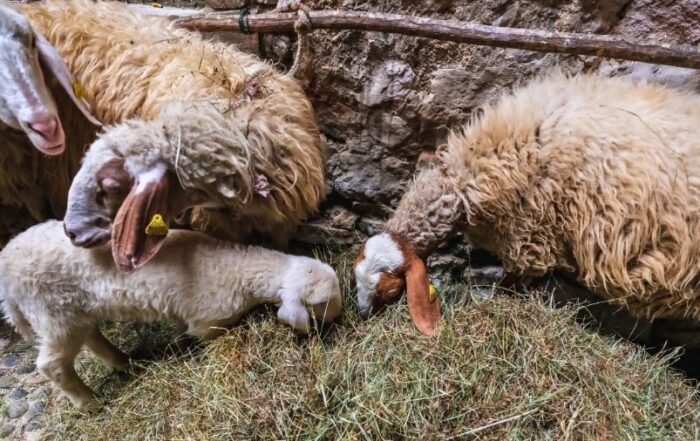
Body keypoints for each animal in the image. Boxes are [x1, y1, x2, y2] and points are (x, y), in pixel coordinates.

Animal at [0, 219, 342, 411]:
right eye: (324, 303)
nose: (338, 318)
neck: (238, 270)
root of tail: (6, 265)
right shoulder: (208, 321)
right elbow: (205, 334)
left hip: (75, 310)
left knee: (91, 338)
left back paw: (125, 363)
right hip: (52, 311)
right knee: (52, 364)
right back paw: (89, 403)